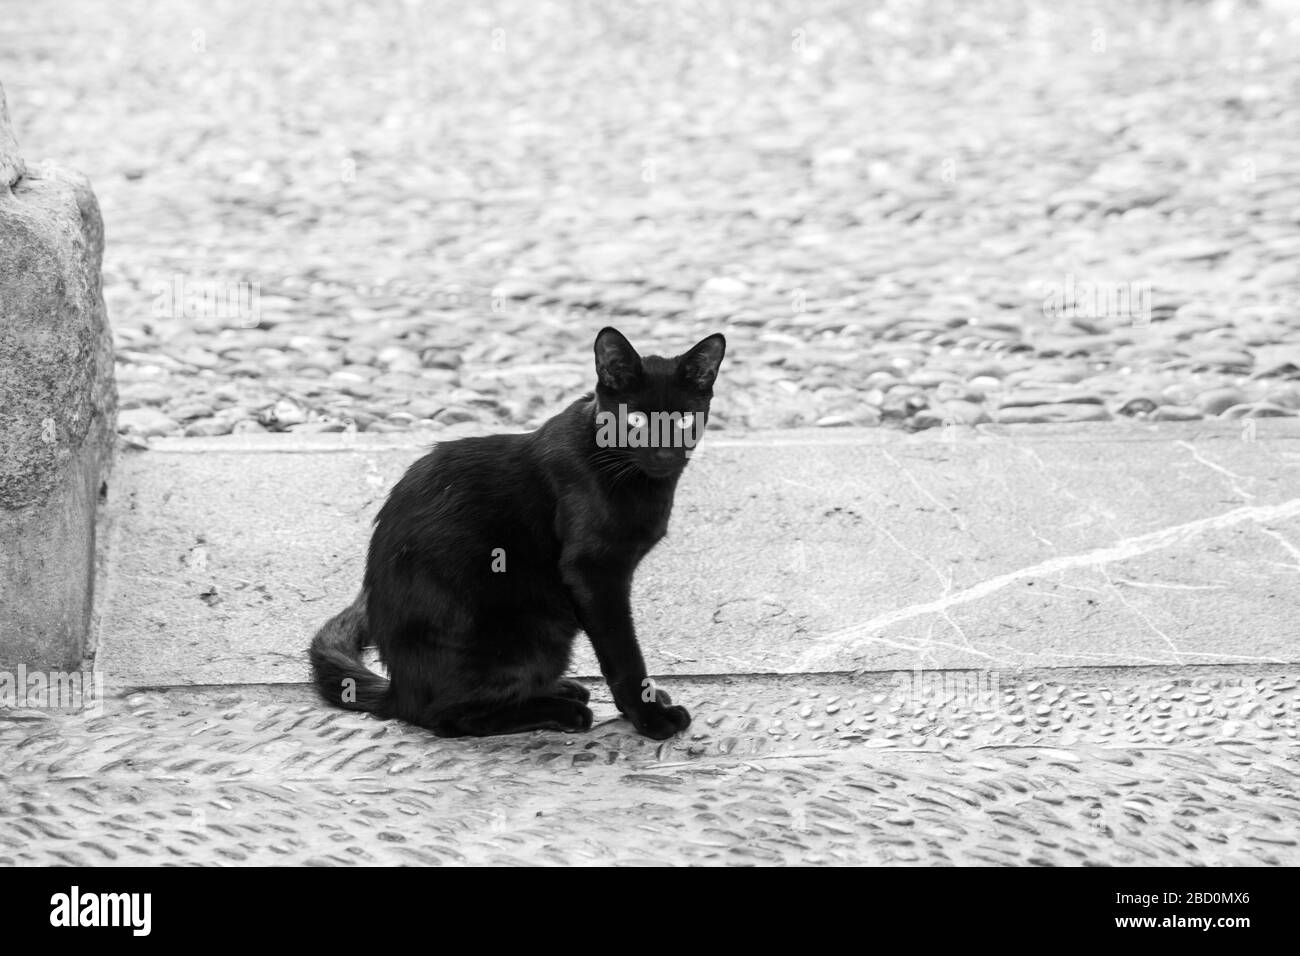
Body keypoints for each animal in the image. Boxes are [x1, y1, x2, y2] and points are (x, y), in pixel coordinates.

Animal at [309, 329, 728, 738]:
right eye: (636, 420)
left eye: (686, 420)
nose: (665, 454)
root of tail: (400, 688)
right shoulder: (593, 573)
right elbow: (622, 652)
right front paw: (649, 716)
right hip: (534, 630)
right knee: (447, 717)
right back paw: (561, 710)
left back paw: (561, 690)